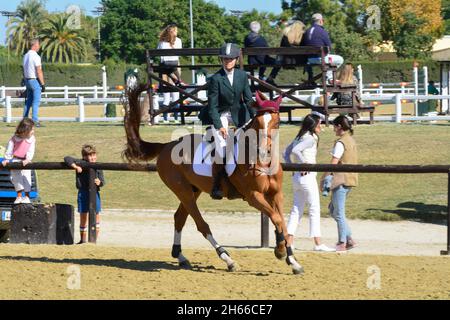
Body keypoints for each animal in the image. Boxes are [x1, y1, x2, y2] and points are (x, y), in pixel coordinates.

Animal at [123, 85, 304, 276]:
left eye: (277, 123)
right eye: (258, 123)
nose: (263, 151)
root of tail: (167, 146)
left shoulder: (276, 194)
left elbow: (283, 224)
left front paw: (292, 261)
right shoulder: (253, 196)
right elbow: (276, 219)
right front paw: (280, 251)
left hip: (193, 190)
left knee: (179, 217)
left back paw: (180, 257)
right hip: (183, 191)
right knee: (201, 225)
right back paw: (228, 259)